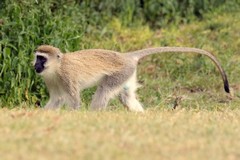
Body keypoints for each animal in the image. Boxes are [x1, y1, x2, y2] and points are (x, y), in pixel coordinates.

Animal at [33, 45, 229, 112]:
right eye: (37, 57)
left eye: (42, 58)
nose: (35, 66)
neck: (57, 67)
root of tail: (126, 56)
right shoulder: (50, 79)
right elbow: (57, 99)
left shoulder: (67, 76)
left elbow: (74, 102)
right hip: (127, 73)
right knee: (126, 95)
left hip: (121, 71)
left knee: (104, 90)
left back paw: (95, 114)